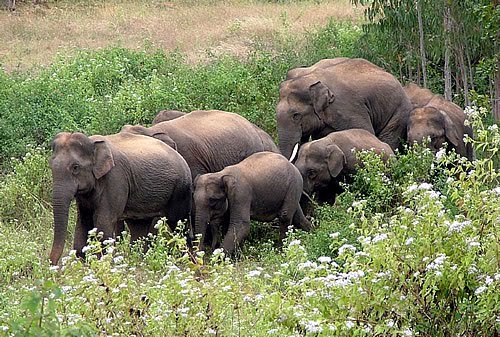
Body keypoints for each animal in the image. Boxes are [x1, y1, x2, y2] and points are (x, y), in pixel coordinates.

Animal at [48, 130, 193, 264]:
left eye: (75, 167)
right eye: (51, 166)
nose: (54, 266)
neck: (93, 143)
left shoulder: (116, 178)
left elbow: (104, 221)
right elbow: (84, 221)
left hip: (180, 190)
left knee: (179, 223)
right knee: (138, 227)